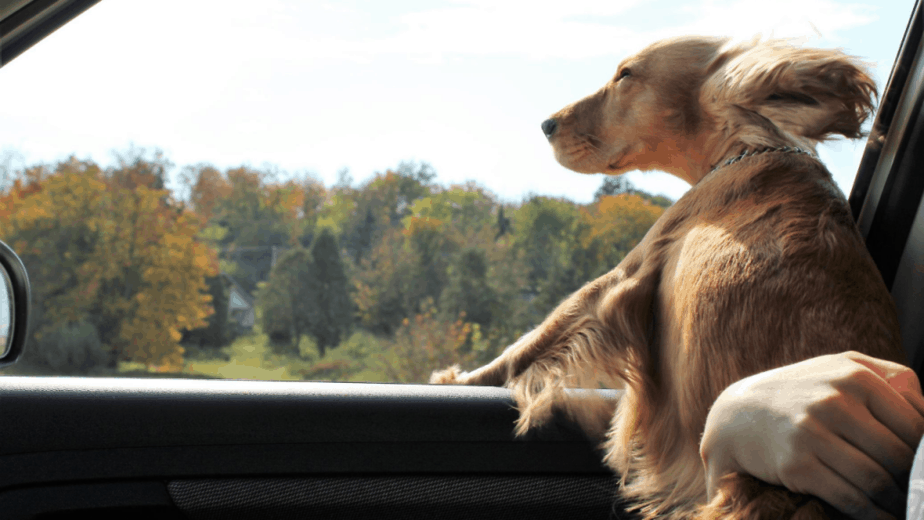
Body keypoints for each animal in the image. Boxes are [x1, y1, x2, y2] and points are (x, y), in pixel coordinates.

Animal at [432, 36, 904, 520]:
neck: (746, 145)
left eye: (626, 75)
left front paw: (460, 380)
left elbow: (529, 343)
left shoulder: (624, 274)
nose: (547, 124)